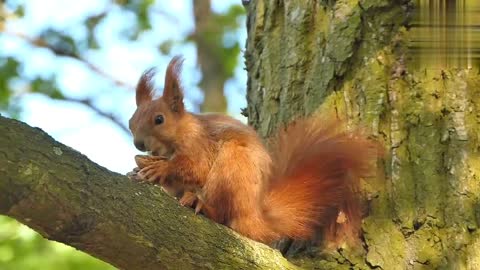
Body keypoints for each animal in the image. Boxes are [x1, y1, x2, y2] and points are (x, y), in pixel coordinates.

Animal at [128, 56, 378, 246]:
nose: (139, 144)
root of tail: (255, 217)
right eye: (131, 123)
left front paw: (161, 168)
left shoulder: (199, 142)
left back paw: (201, 204)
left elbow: (196, 168)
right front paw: (139, 169)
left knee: (224, 215)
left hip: (232, 168)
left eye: (159, 119)